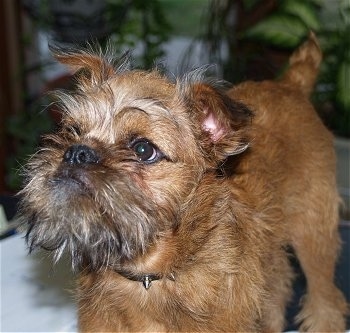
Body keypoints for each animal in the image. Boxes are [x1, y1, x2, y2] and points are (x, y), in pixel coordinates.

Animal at [18, 33, 348, 330]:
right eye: (71, 132)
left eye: (143, 149)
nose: (77, 153)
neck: (149, 276)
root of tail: (290, 85)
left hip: (314, 235)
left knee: (325, 302)